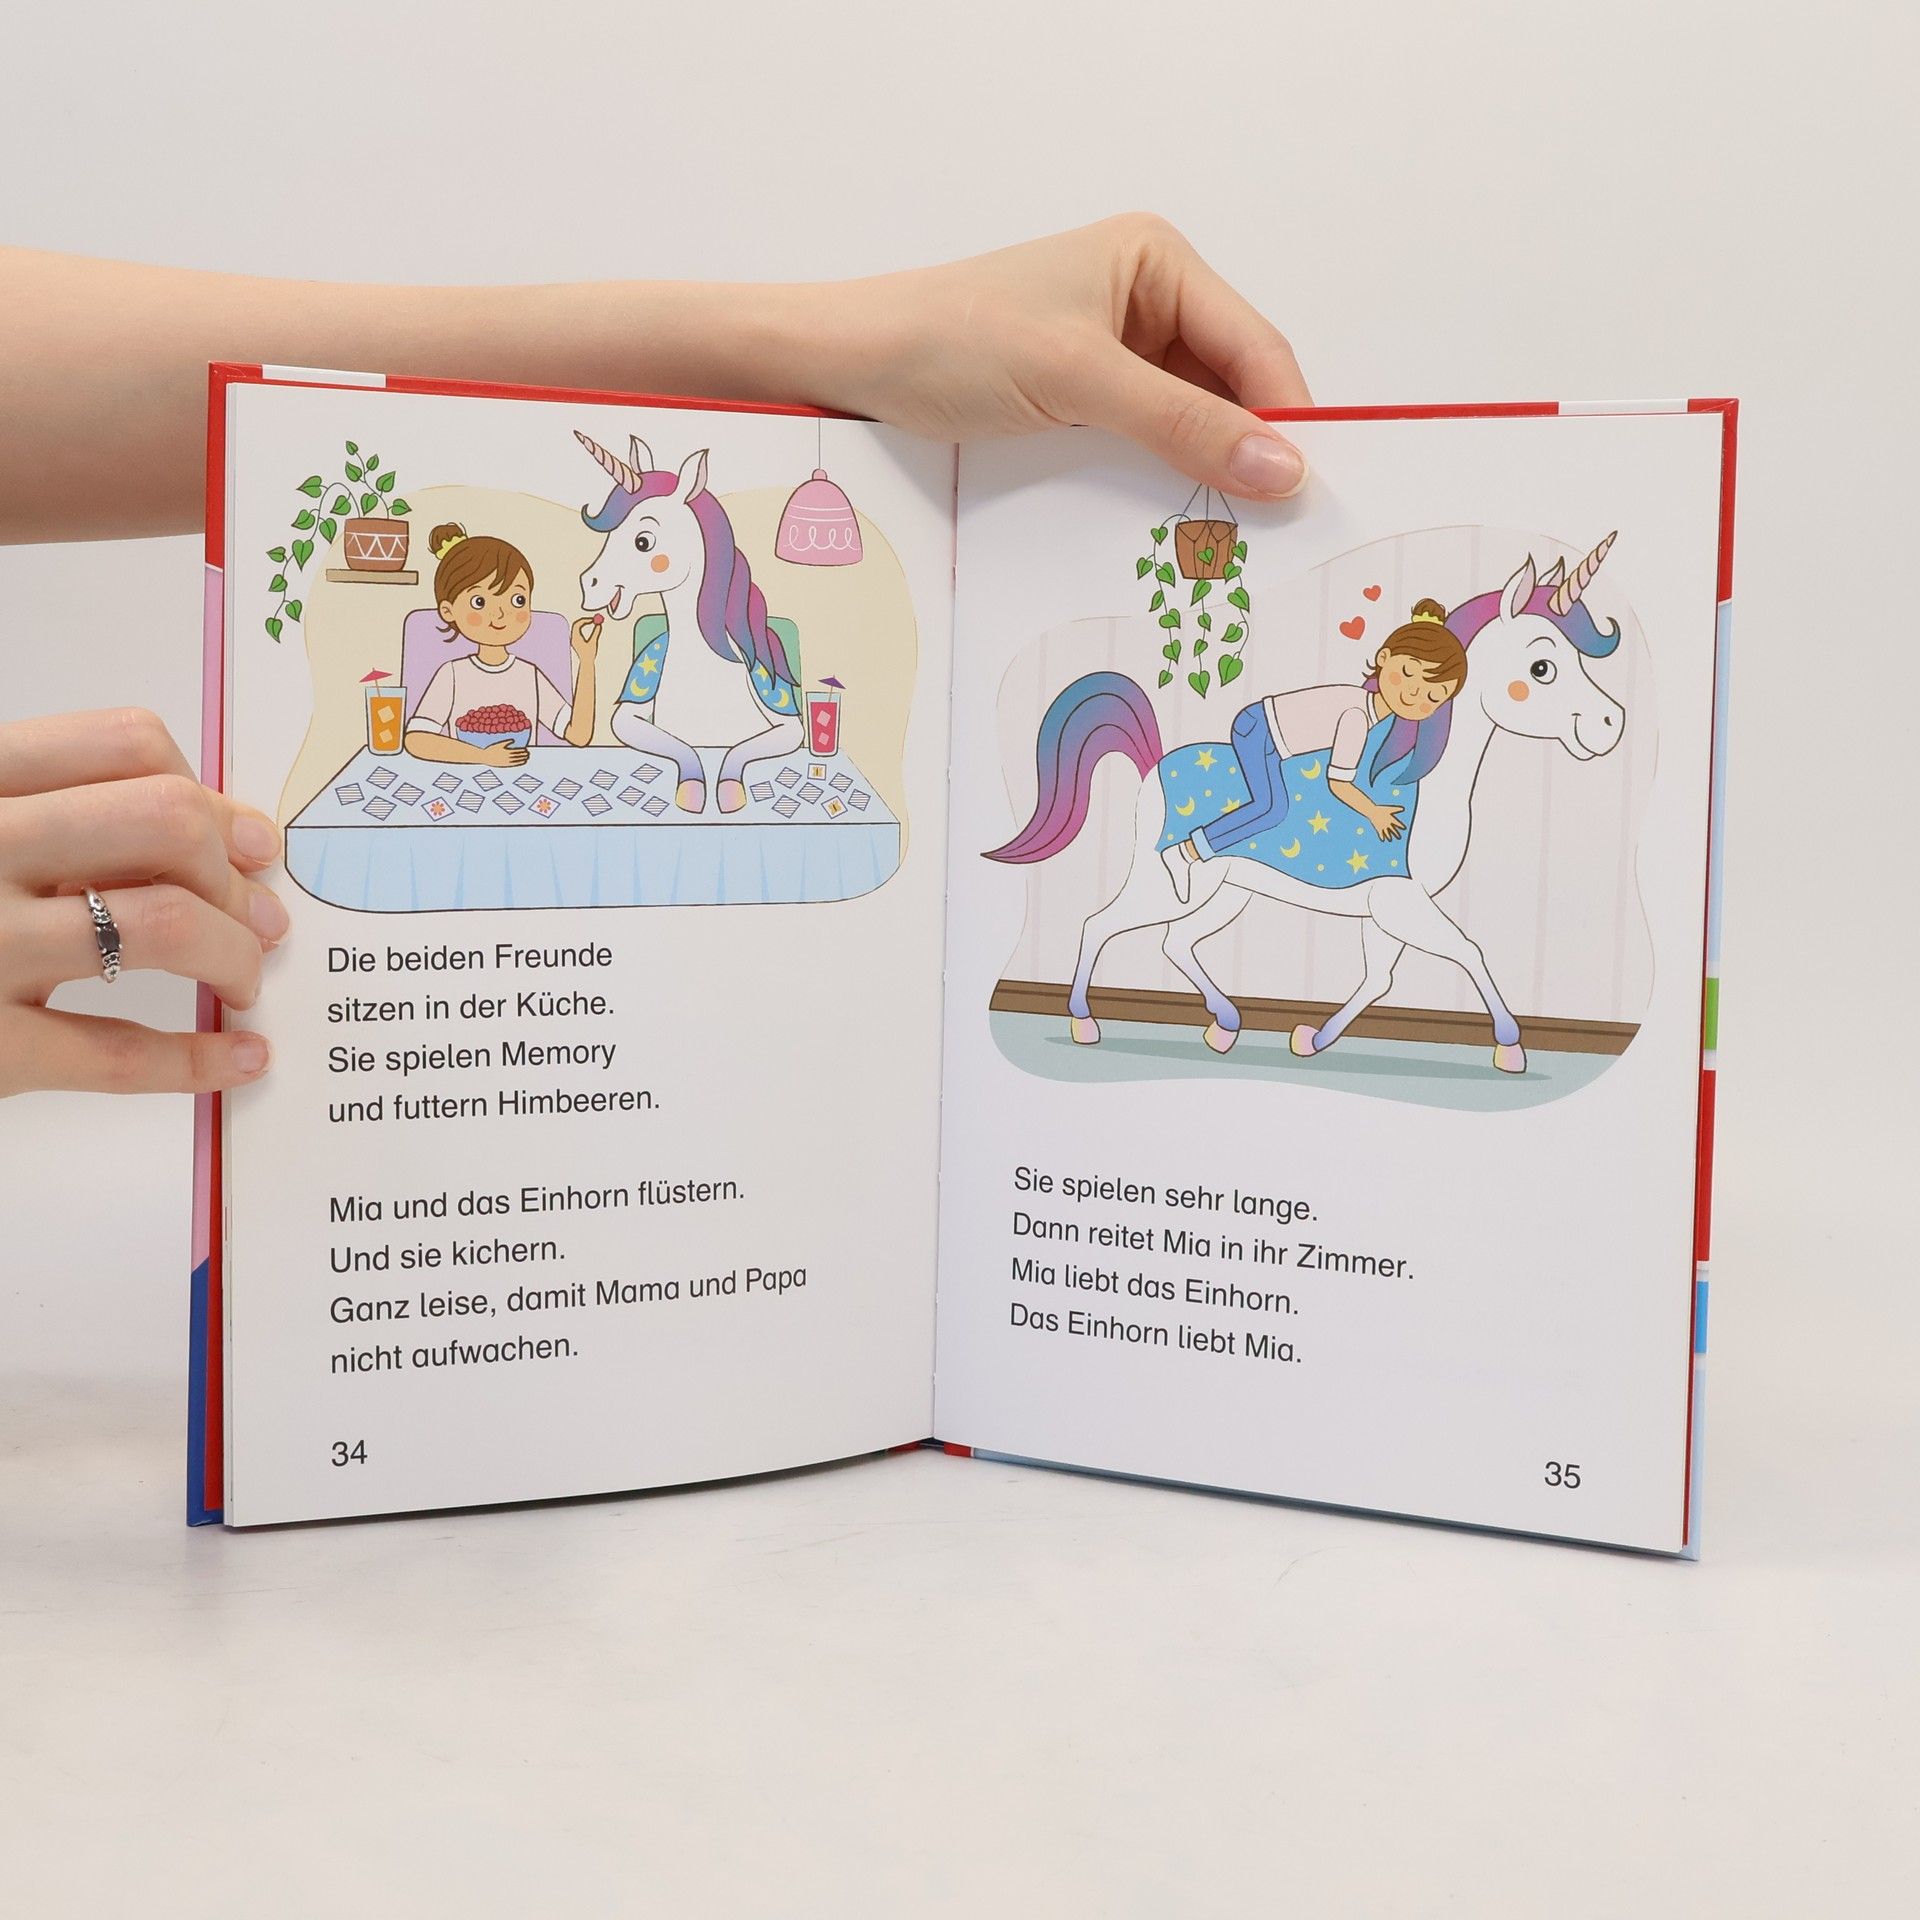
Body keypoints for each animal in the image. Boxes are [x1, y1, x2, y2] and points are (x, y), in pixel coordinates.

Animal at [574, 430, 804, 813]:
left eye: (643, 541)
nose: (588, 584)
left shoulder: (783, 712)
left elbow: (741, 749)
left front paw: (728, 791)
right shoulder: (634, 697)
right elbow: (680, 746)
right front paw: (693, 789)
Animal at [985, 544, 1628, 1074]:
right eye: (1542, 668)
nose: (1612, 723)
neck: (1418, 773)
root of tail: (1151, 767)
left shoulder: (1388, 907)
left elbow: (1380, 978)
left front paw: (1310, 1040)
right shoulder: (1402, 901)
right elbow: (1468, 951)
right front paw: (1511, 1047)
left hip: (1226, 893)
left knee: (1176, 943)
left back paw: (1225, 1029)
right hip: (1162, 882)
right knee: (1100, 924)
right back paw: (1084, 1022)